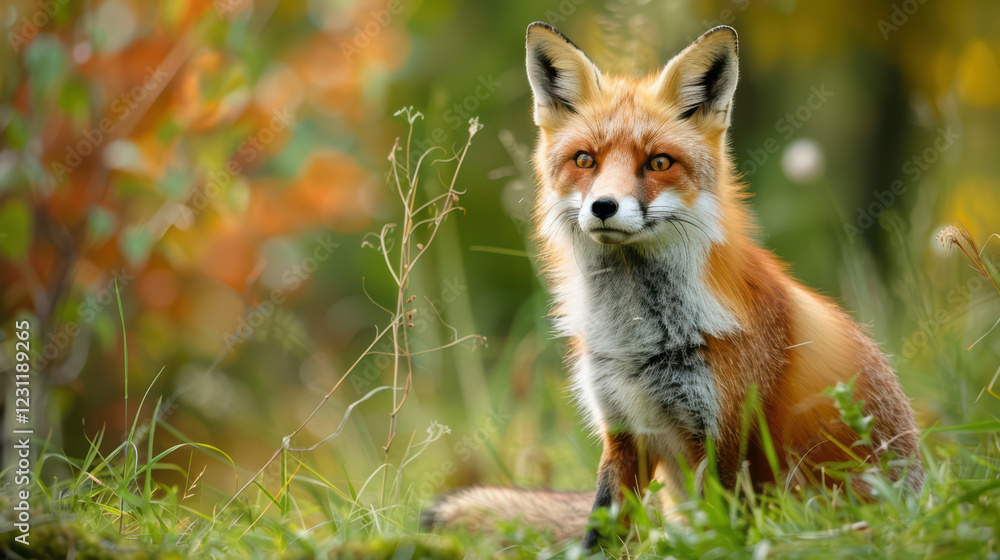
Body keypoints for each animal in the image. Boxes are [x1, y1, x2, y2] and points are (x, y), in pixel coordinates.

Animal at [422, 22, 923, 548]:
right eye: (586, 160)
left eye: (659, 163)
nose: (603, 206)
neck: (639, 341)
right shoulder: (624, 431)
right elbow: (600, 531)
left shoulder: (727, 439)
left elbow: (720, 536)